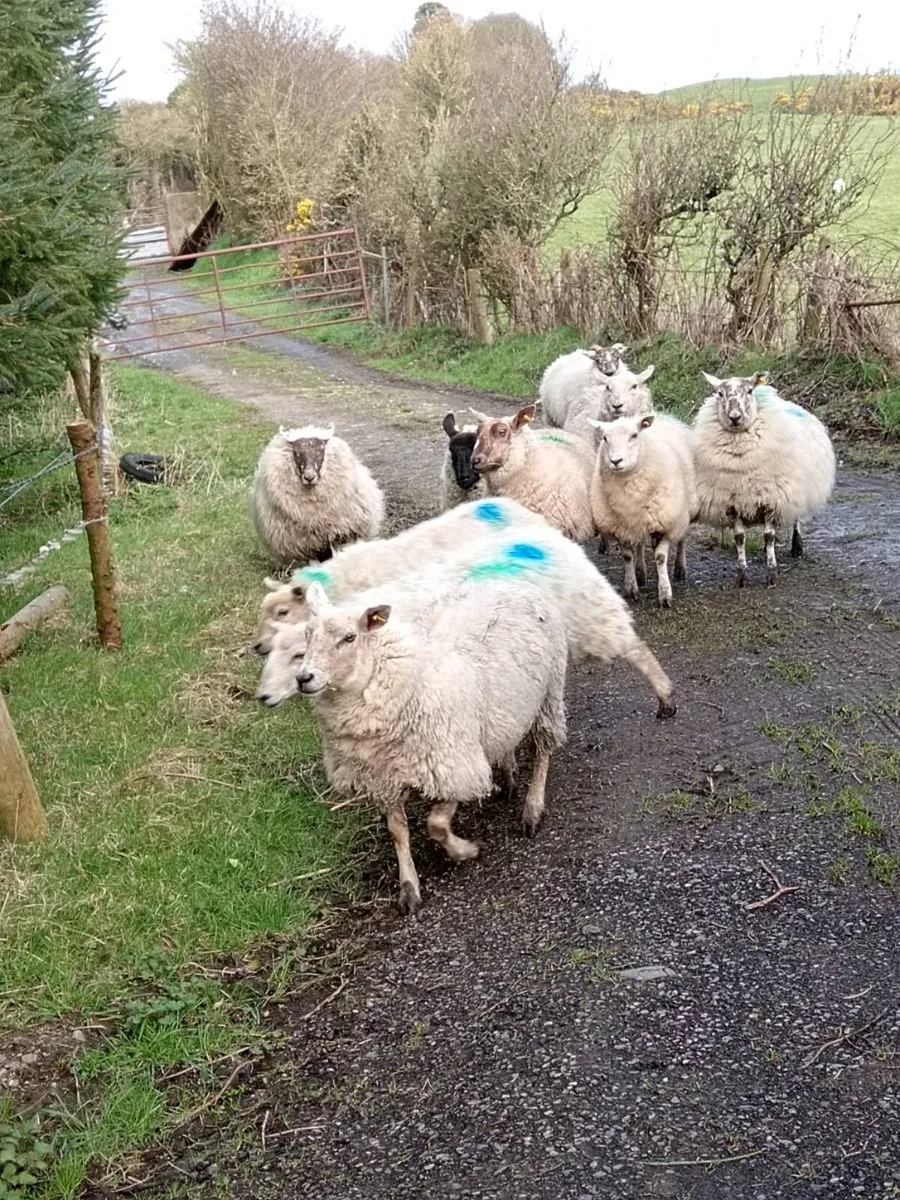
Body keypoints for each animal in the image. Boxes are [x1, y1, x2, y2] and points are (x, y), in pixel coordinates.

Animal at [250, 424, 385, 567]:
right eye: (296, 453)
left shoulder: (340, 535)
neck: (315, 515)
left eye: (321, 451)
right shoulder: (306, 547)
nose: (309, 477)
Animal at [256, 519, 678, 720]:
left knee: (634, 647)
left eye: (297, 654)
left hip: (589, 616)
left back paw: (665, 697)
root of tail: (548, 539)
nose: (262, 697)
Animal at [295, 576, 569, 914]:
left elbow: (436, 824)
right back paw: (507, 775)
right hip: (506, 710)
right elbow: (397, 832)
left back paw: (532, 808)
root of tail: (509, 581)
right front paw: (408, 887)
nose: (303, 678)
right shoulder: (384, 779)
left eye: (349, 637)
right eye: (307, 634)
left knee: (544, 749)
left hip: (550, 691)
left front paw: (465, 851)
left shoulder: (453, 766)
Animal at [588, 412, 697, 608]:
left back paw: (680, 568)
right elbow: (627, 556)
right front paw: (631, 588)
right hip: (639, 519)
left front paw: (665, 594)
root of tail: (663, 416)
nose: (616, 461)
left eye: (634, 435)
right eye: (605, 438)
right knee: (639, 544)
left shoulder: (666, 522)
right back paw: (641, 573)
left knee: (682, 538)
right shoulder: (621, 525)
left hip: (684, 509)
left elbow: (660, 557)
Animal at [693, 372, 836, 587]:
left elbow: (769, 536)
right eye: (720, 393)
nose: (734, 417)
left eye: (749, 390)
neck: (740, 460)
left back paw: (797, 546)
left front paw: (772, 574)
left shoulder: (772, 499)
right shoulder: (733, 502)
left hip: (796, 488)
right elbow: (739, 538)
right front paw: (742, 576)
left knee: (796, 519)